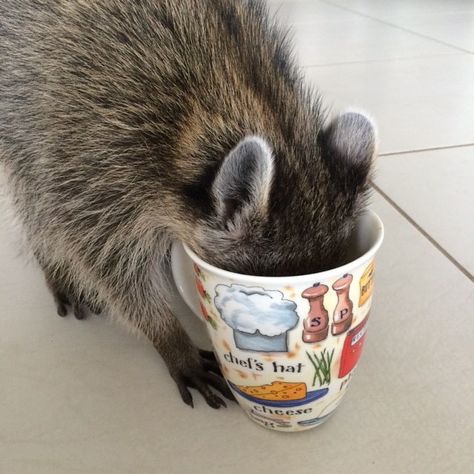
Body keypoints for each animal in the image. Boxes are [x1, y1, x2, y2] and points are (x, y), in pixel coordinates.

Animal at [0, 0, 378, 408]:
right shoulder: (93, 155)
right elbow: (105, 260)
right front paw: (167, 334)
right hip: (22, 112)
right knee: (33, 194)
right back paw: (50, 259)